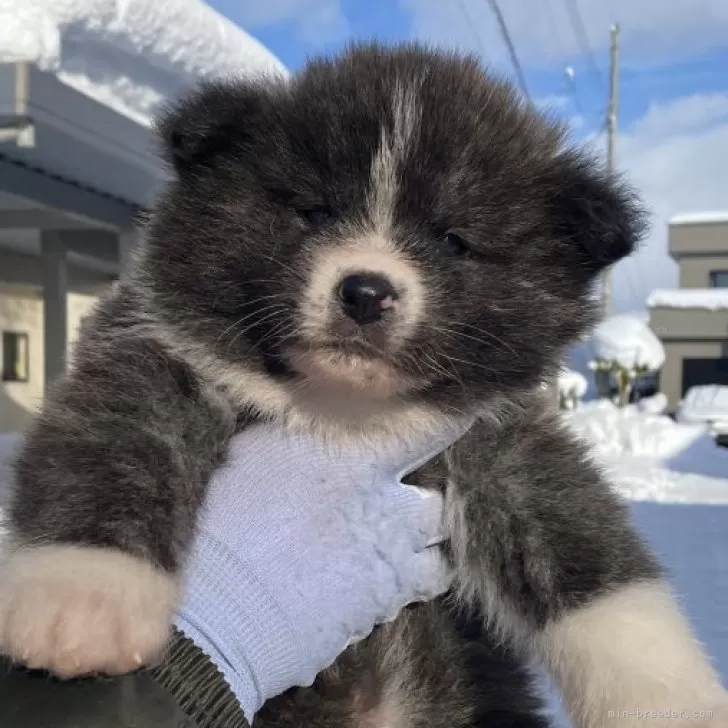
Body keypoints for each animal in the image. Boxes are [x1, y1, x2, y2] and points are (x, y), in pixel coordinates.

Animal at [1, 45, 728, 728]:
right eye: (315, 211)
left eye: (453, 239)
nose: (366, 292)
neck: (343, 411)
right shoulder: (152, 353)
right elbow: (115, 444)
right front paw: (82, 596)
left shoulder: (501, 440)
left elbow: (587, 550)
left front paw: (675, 702)